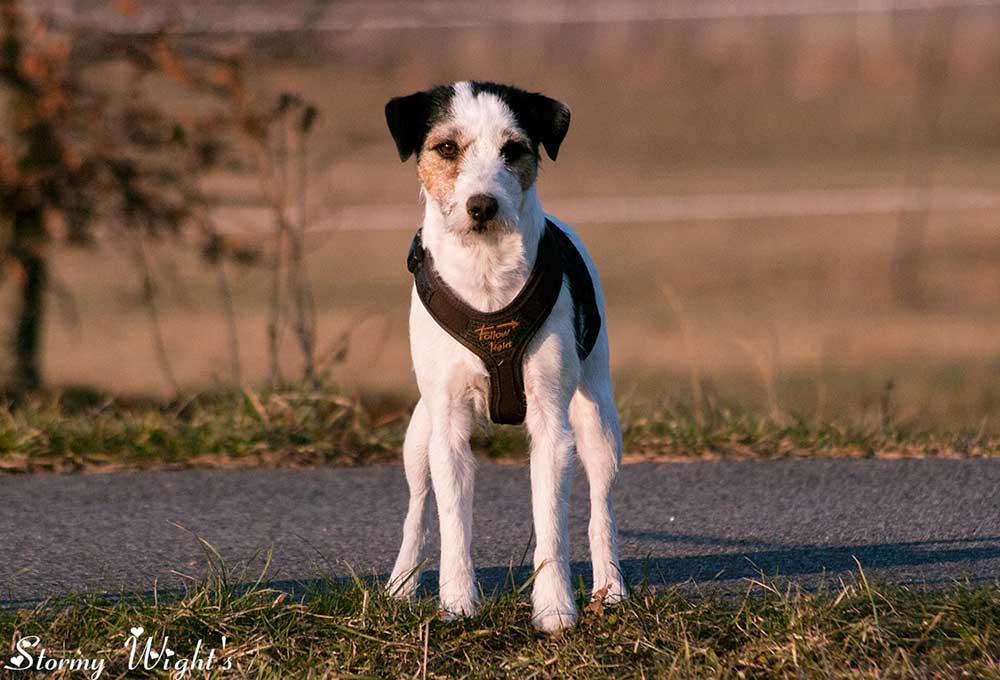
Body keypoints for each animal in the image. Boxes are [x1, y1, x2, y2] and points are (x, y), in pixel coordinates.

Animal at [384, 81, 624, 632]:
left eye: (513, 149)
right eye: (446, 148)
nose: (482, 206)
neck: (486, 270)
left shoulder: (553, 427)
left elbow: (551, 524)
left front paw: (554, 609)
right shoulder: (448, 427)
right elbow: (452, 522)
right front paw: (457, 603)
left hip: (598, 422)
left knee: (601, 508)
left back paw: (611, 587)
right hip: (419, 433)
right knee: (416, 507)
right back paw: (401, 584)